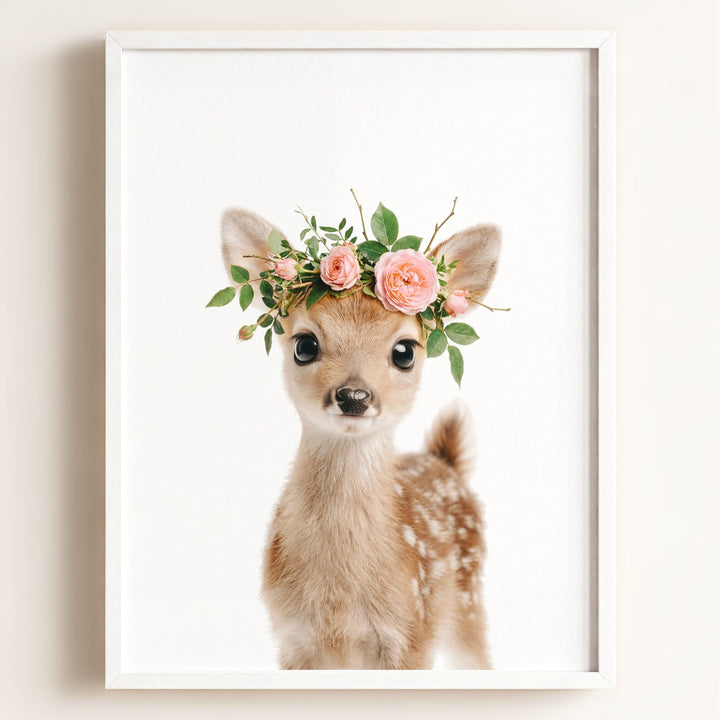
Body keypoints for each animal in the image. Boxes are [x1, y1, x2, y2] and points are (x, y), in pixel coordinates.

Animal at [220, 207, 501, 669]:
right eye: (305, 345)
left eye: (404, 351)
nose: (354, 396)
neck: (339, 601)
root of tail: (444, 461)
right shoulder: (292, 639)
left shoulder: (411, 634)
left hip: (468, 601)